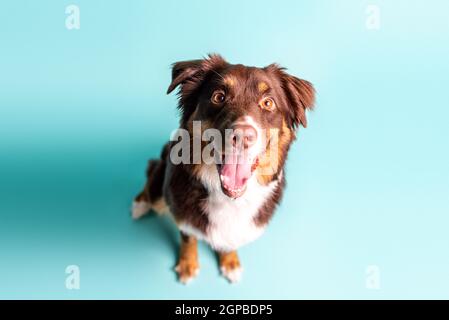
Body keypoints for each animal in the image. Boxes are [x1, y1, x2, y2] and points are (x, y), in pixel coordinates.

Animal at [131, 53, 316, 284]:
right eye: (218, 97)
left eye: (268, 103)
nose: (243, 136)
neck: (229, 198)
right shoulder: (183, 214)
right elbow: (188, 238)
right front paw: (188, 264)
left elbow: (229, 241)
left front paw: (230, 261)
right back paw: (139, 204)